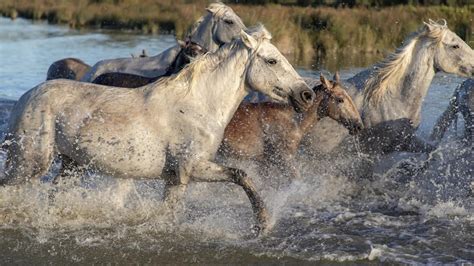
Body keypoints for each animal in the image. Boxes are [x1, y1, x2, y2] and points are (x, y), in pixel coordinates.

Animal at [3, 25, 316, 233]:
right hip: (30, 163)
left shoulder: (177, 177)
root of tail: (26, 98)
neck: (198, 104)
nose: (306, 95)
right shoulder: (190, 168)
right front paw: (262, 222)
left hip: (71, 165)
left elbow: (175, 209)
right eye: (272, 60)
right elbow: (239, 177)